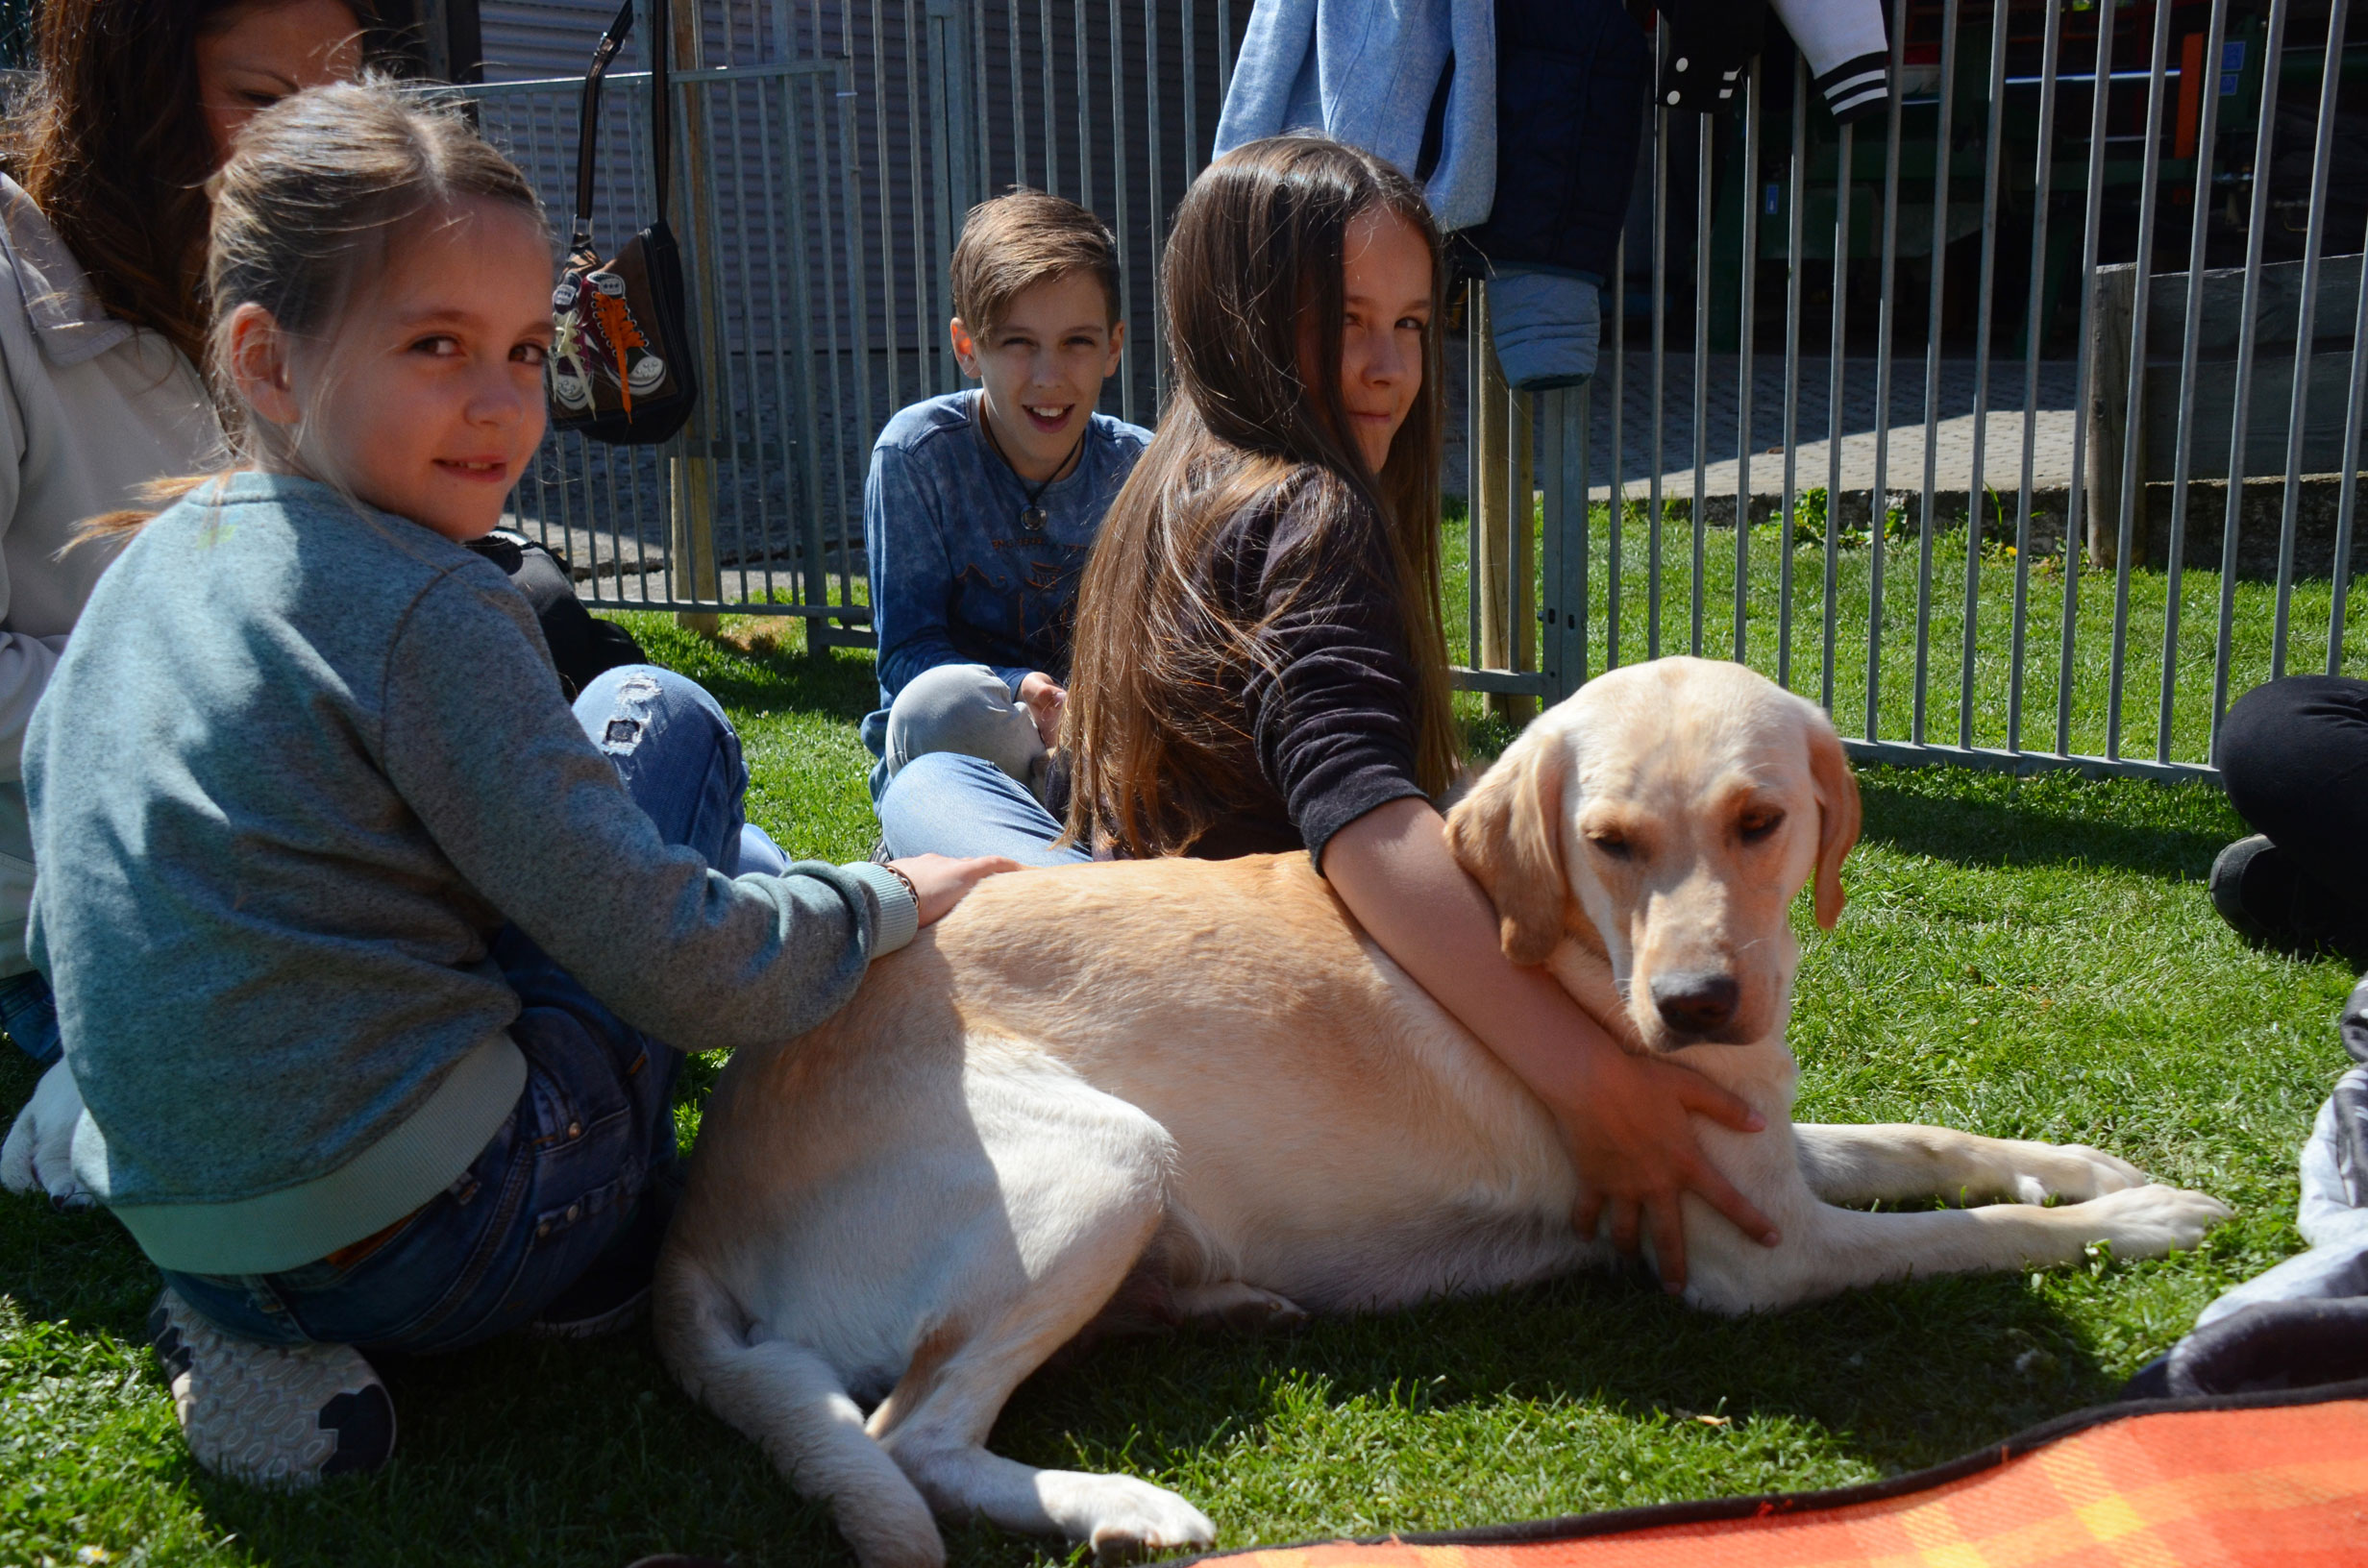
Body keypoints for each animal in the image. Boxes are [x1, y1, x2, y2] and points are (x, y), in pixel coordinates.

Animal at [657, 658, 2226, 1563]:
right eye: (1610, 843)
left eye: (1760, 821)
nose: (1698, 1003)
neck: (1571, 949)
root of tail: (694, 1216)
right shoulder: (1762, 1251)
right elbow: (1961, 1236)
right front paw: (2148, 1217)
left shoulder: (1764, 1152)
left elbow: (1934, 1146)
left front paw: (2088, 1164)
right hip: (1108, 1157)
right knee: (905, 1438)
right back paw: (1122, 1506)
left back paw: (1216, 1305)